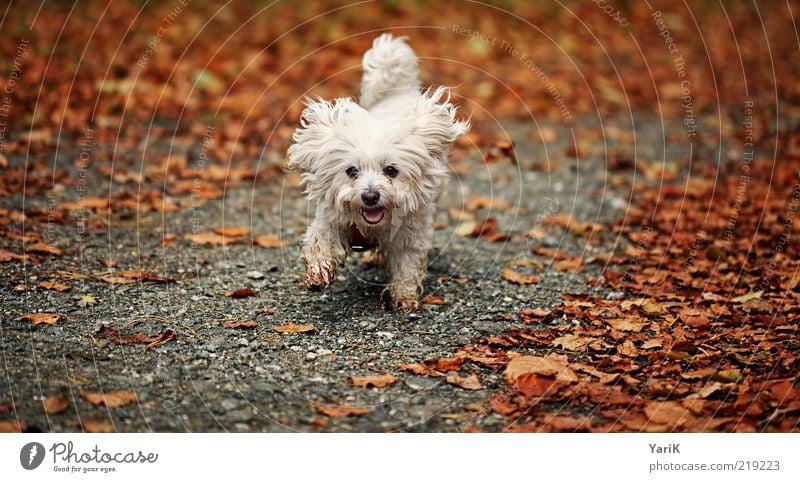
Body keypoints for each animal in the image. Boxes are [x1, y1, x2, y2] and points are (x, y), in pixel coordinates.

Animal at [288, 34, 468, 312]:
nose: (370, 196)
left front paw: (404, 297)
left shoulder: (411, 233)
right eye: (351, 171)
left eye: (391, 171)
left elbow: (407, 265)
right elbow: (321, 242)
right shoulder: (330, 218)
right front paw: (318, 272)